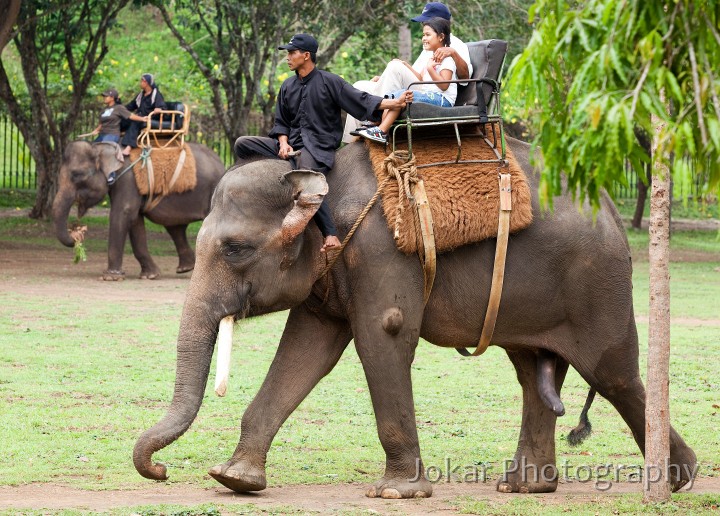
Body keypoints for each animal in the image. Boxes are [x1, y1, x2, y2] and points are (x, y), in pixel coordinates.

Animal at [52, 140, 225, 278]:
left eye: (77, 174)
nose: (79, 233)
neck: (102, 148)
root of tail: (220, 162)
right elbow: (135, 221)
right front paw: (150, 275)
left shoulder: (128, 181)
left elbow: (122, 214)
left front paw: (111, 277)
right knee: (175, 228)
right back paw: (186, 268)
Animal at [132, 138, 696, 500]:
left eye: (235, 249)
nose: (160, 470)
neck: (320, 177)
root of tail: (610, 209)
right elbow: (307, 351)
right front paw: (234, 479)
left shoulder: (381, 251)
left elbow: (384, 336)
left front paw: (396, 492)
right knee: (532, 374)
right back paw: (525, 486)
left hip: (599, 284)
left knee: (615, 375)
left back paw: (677, 480)